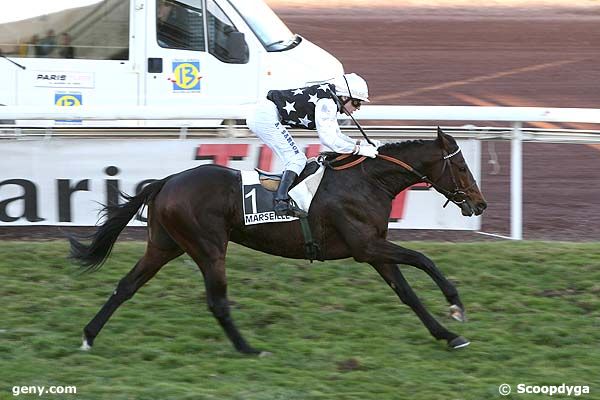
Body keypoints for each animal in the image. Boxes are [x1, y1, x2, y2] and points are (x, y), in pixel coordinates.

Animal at [70, 127, 488, 354]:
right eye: (461, 165)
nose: (480, 203)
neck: (367, 181)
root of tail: (167, 181)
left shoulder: (374, 250)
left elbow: (408, 294)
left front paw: (449, 336)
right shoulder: (365, 247)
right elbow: (423, 258)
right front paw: (455, 305)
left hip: (165, 245)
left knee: (126, 286)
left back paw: (89, 337)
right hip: (208, 248)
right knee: (217, 302)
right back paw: (248, 349)